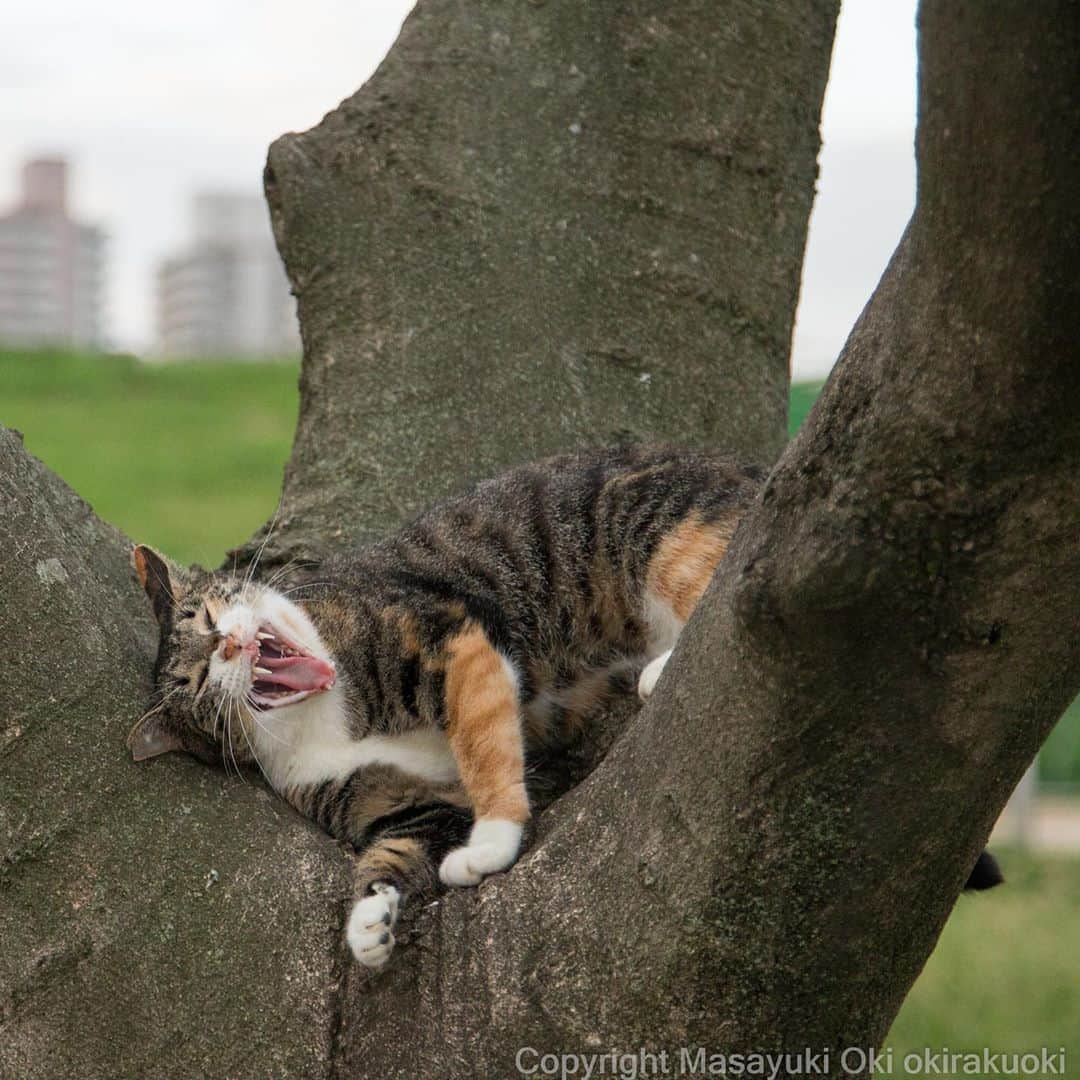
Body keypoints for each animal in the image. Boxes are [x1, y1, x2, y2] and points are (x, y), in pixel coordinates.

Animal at [128, 442, 1002, 967]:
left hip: (656, 526)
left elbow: (485, 744)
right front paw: (368, 925)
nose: (228, 649)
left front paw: (491, 843)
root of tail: (755, 471)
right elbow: (391, 851)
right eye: (195, 685)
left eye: (203, 616)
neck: (326, 714)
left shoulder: (447, 641)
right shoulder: (396, 804)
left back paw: (663, 664)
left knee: (732, 584)